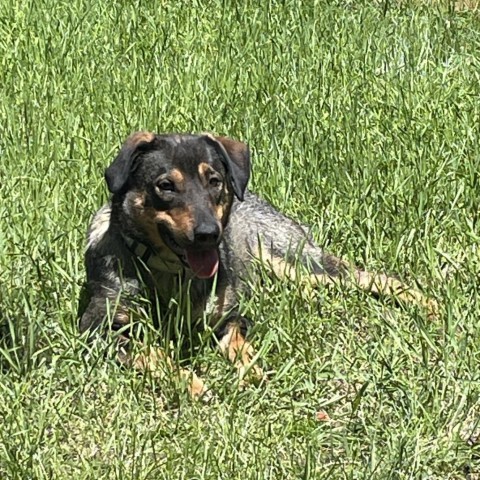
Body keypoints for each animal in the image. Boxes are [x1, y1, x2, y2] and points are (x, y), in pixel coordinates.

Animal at [79, 131, 438, 398]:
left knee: (375, 277)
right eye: (165, 185)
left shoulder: (231, 316)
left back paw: (429, 306)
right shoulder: (99, 329)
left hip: (297, 260)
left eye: (214, 181)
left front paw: (251, 370)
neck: (170, 272)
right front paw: (192, 384)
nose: (209, 234)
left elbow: (239, 344)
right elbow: (153, 353)